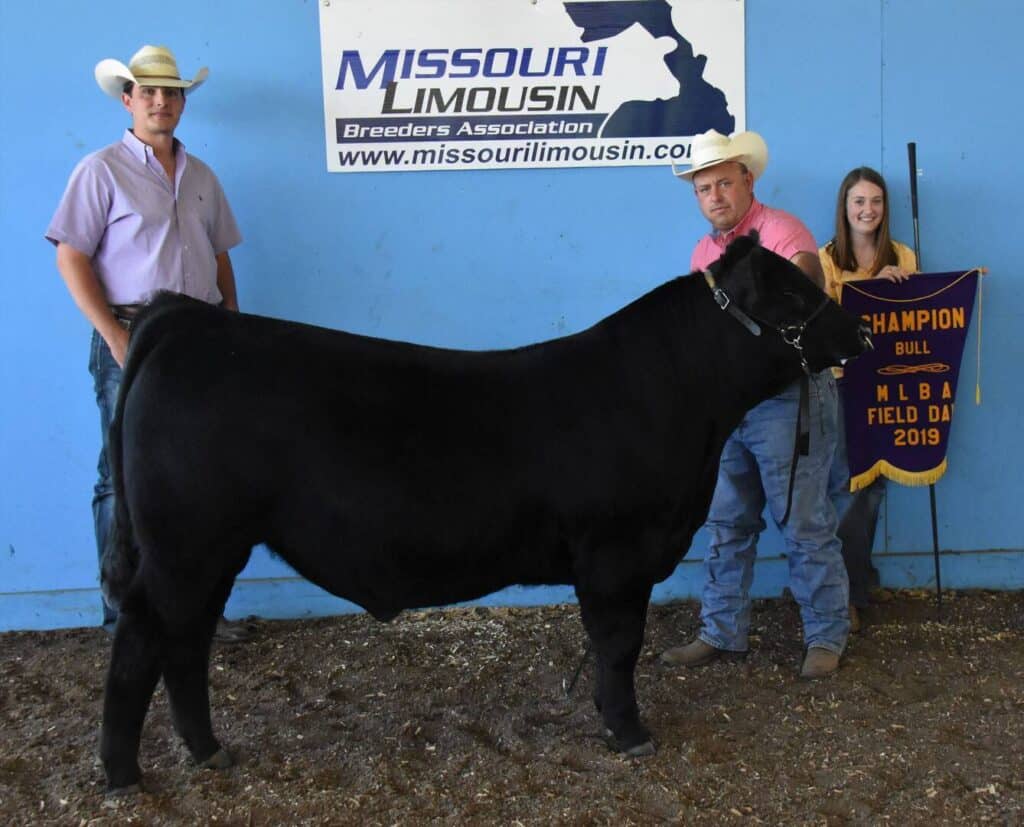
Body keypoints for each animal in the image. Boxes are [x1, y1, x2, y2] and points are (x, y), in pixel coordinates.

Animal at [98, 233, 871, 793]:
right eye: (792, 288)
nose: (859, 334)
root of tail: (187, 320)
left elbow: (607, 647)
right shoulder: (616, 552)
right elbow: (619, 643)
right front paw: (628, 732)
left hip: (207, 549)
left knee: (185, 641)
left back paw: (206, 750)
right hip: (184, 545)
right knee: (144, 640)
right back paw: (123, 773)